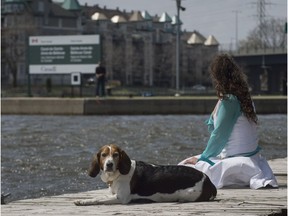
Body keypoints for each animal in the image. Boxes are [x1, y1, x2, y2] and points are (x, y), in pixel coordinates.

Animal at [74, 144, 216, 205]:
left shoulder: (121, 198)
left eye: (115, 155)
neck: (118, 174)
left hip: (188, 193)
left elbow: (98, 198)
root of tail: (208, 179)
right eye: (103, 155)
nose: (109, 164)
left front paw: (82, 201)